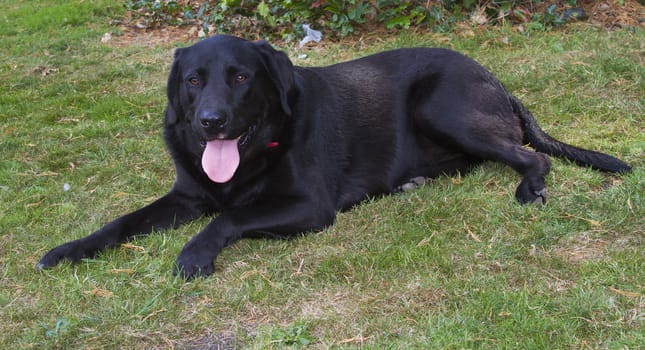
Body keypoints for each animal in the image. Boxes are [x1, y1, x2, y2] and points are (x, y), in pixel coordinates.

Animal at [37, 34, 632, 278]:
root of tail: (496, 79)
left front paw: (194, 254)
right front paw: (68, 250)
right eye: (192, 81)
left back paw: (530, 188)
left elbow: (228, 217)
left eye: (241, 77)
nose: (211, 121)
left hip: (441, 106)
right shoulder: (186, 195)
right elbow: (120, 222)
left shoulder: (309, 206)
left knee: (531, 157)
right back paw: (413, 181)